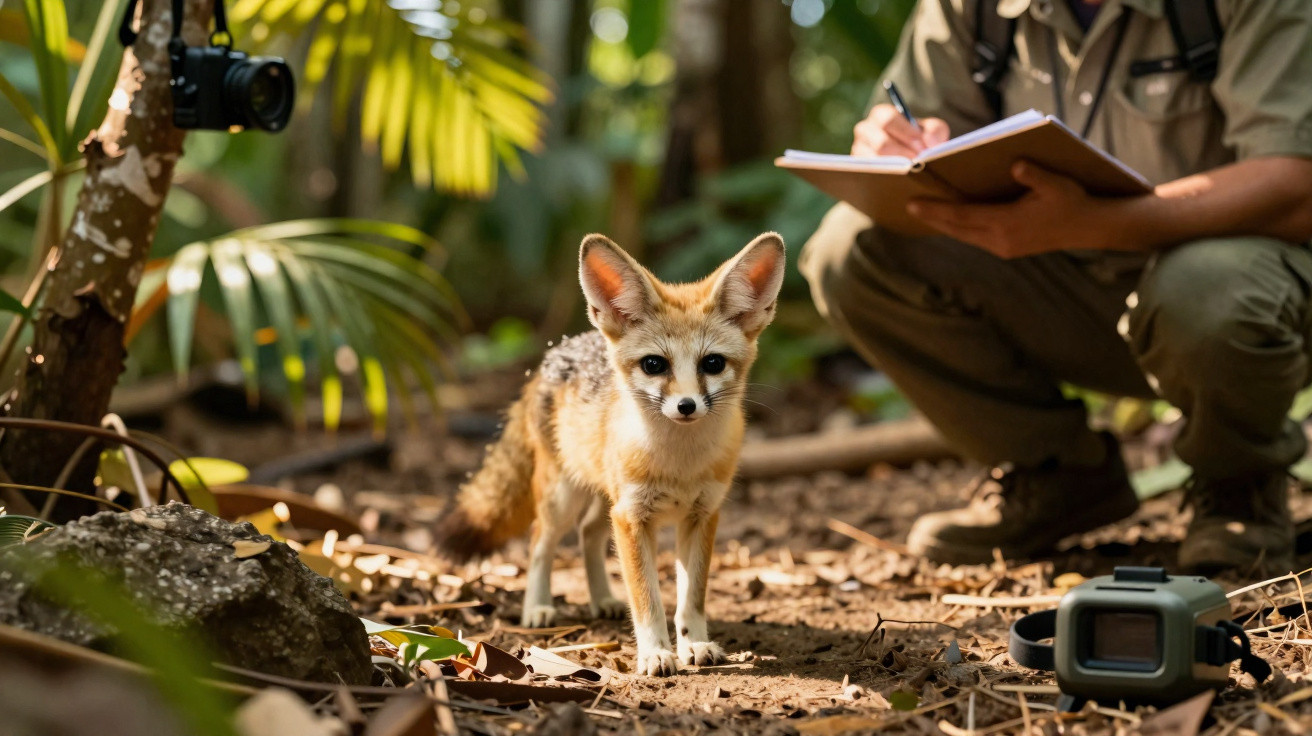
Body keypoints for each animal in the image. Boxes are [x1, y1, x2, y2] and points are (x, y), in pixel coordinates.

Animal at [437, 232, 785, 676]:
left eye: (712, 363)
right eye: (654, 364)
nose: (686, 406)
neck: (678, 465)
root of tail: (555, 353)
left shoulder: (701, 516)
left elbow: (691, 599)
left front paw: (694, 644)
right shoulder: (632, 517)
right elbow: (647, 599)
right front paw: (655, 652)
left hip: (604, 501)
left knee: (588, 533)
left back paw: (601, 599)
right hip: (564, 498)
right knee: (540, 541)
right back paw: (538, 607)